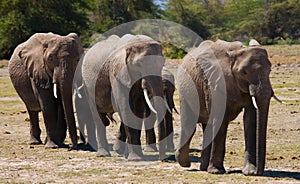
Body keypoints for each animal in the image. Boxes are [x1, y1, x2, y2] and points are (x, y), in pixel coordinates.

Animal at [175, 39, 280, 176]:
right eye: (244, 72)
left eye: (270, 70)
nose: (258, 172)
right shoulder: (214, 82)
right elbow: (220, 118)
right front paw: (216, 172)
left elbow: (250, 119)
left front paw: (249, 172)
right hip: (185, 92)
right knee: (189, 125)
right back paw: (185, 163)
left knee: (206, 126)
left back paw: (203, 168)